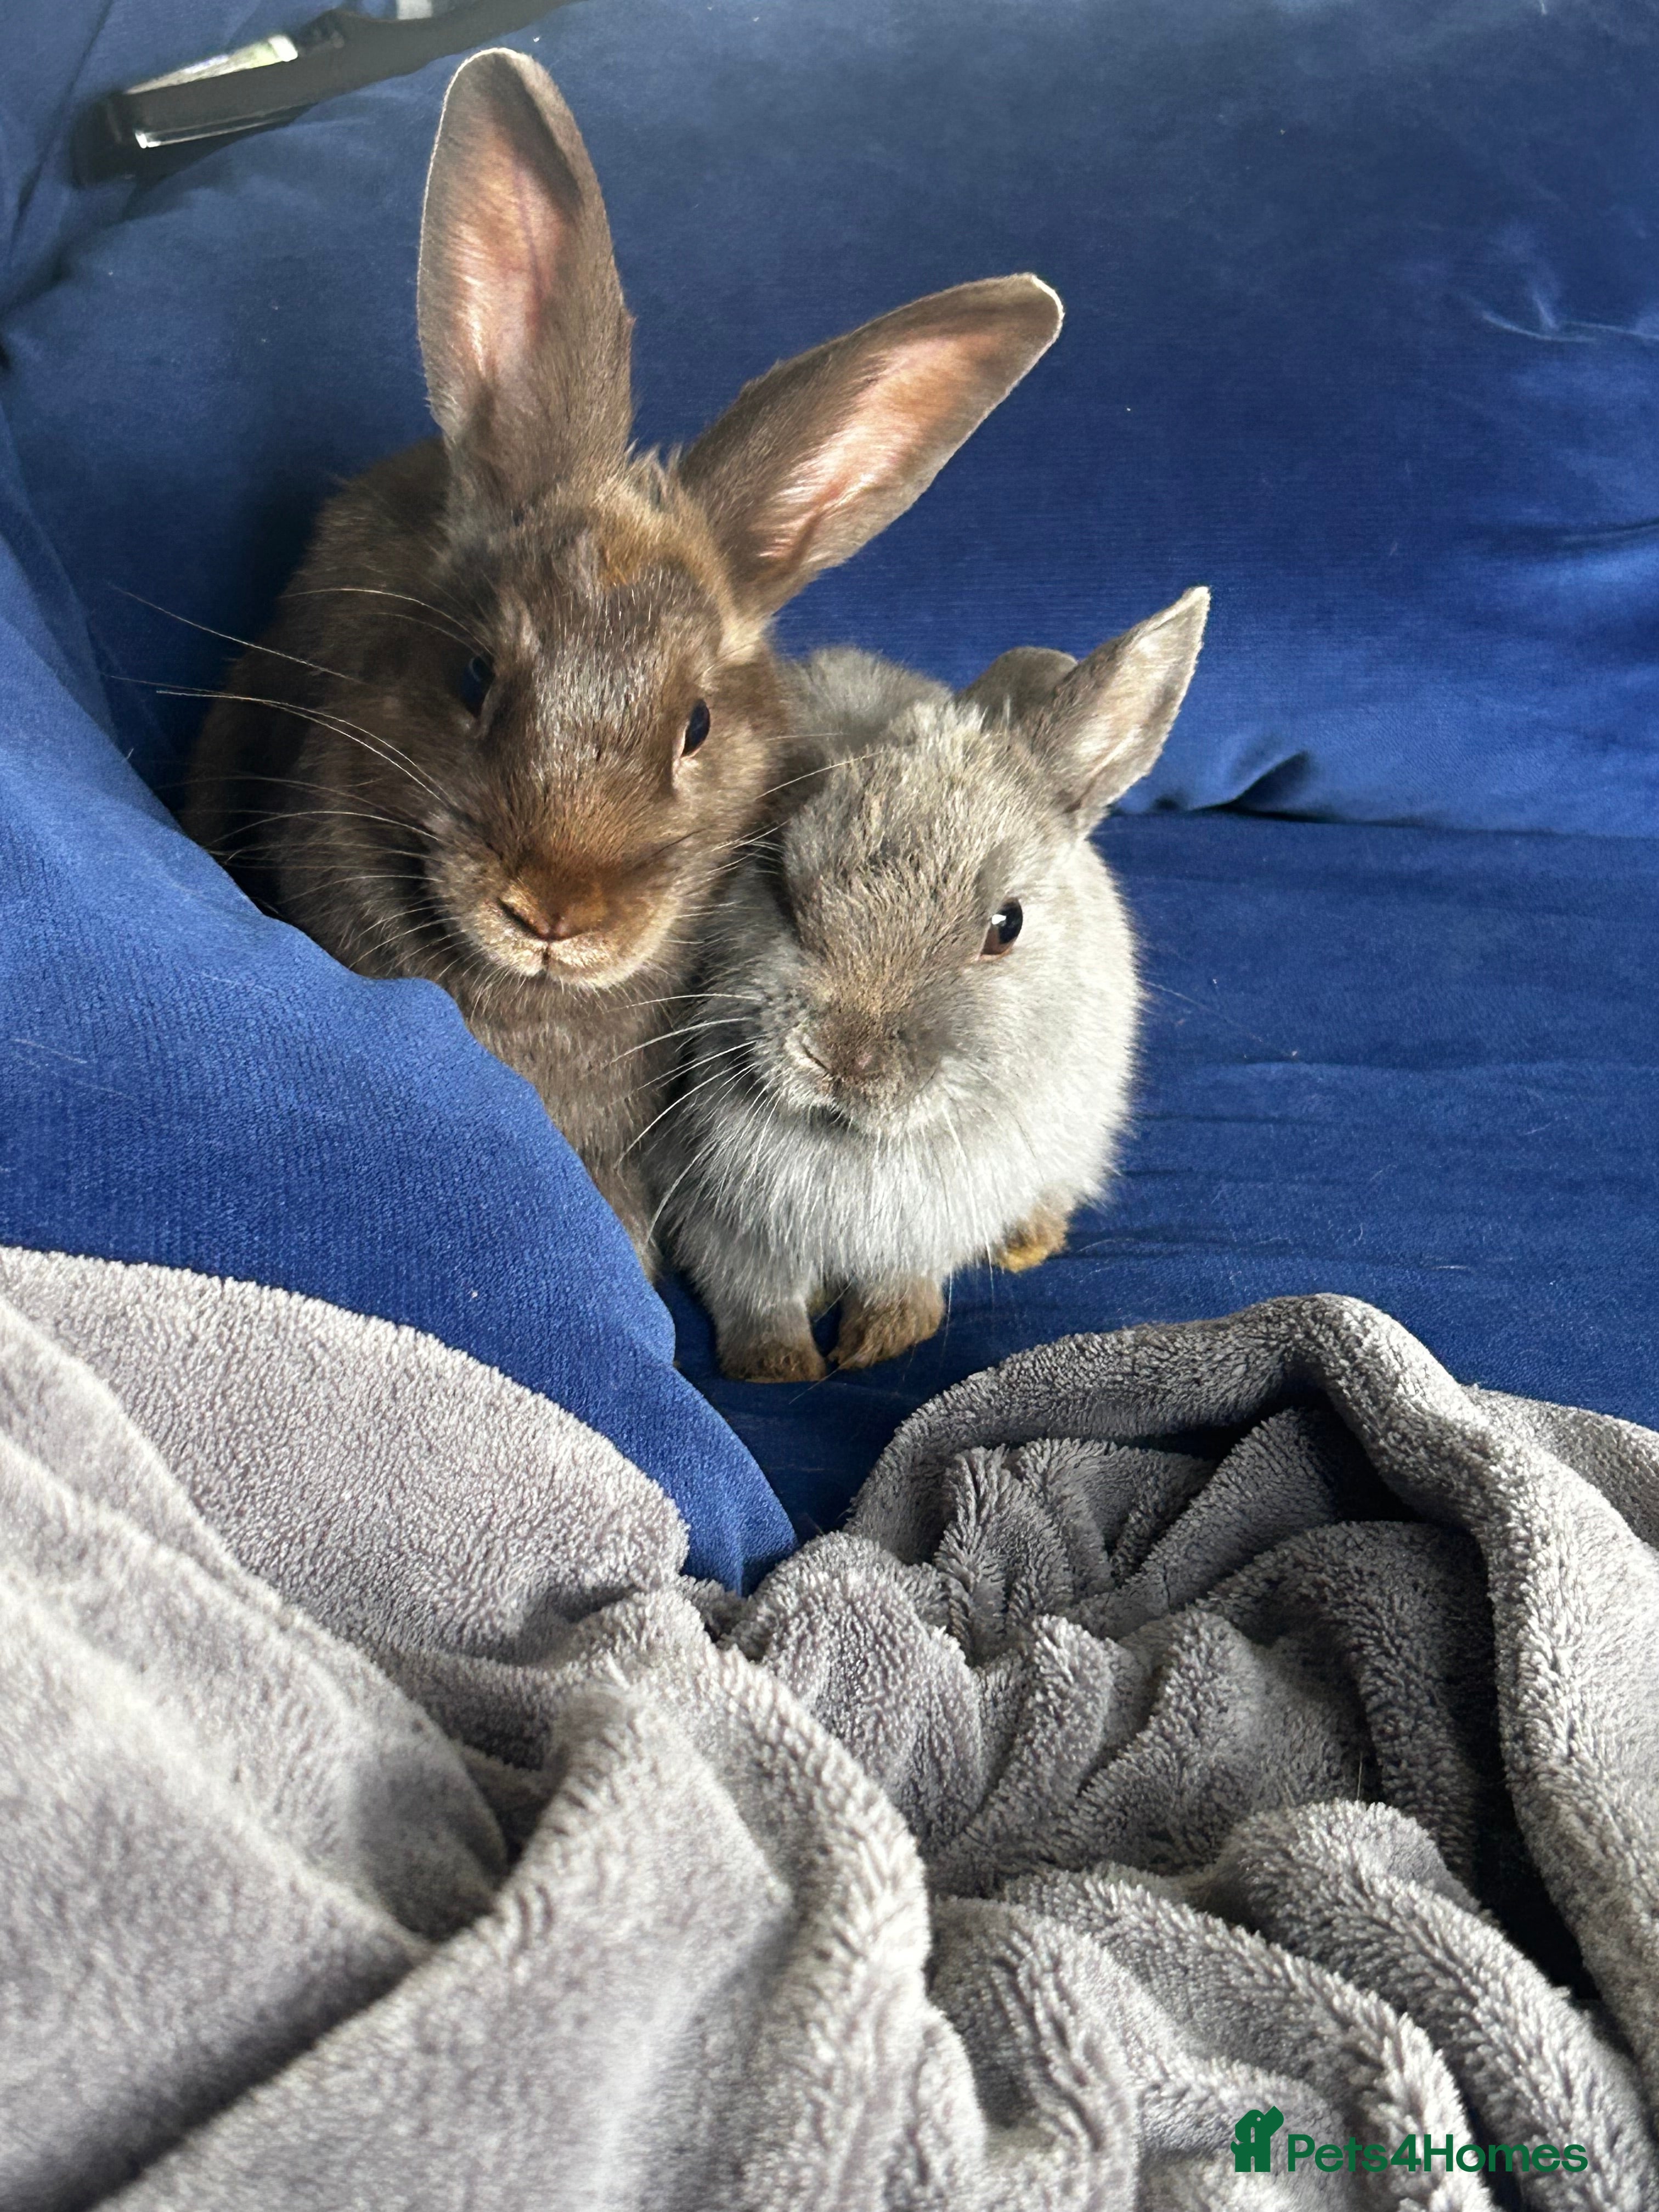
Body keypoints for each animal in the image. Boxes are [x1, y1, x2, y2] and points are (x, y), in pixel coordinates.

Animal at [649, 587, 1210, 1379]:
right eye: (778, 880)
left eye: (1006, 925)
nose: (843, 1057)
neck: (851, 1137)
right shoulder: (715, 1221)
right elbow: (756, 1295)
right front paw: (778, 1365)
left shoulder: (930, 1229)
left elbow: (901, 1278)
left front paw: (881, 1341)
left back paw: (1026, 1244)